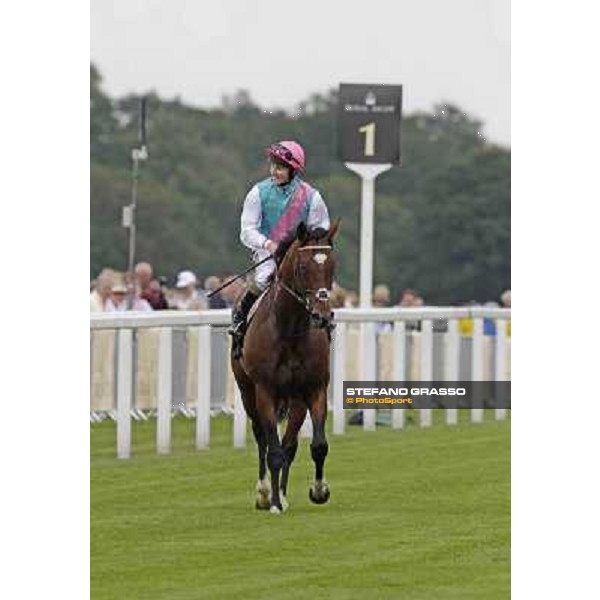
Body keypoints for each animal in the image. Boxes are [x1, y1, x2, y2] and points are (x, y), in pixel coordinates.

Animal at [232, 223, 340, 512]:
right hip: (247, 392)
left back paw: (282, 492)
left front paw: (319, 490)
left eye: (332, 265)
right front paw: (274, 503)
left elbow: (317, 445)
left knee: (289, 444)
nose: (322, 316)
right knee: (261, 437)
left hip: (294, 400)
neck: (290, 330)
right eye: (302, 267)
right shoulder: (265, 391)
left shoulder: (314, 389)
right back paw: (264, 493)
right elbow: (274, 451)